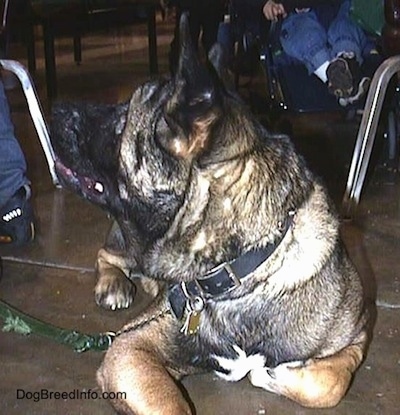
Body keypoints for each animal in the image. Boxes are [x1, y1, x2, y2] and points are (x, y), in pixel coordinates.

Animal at [51, 14, 370, 414]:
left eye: (122, 118)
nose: (55, 110)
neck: (246, 265)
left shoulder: (358, 335)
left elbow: (330, 384)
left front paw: (274, 375)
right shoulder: (129, 348)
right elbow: (170, 403)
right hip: (129, 245)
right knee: (107, 253)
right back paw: (113, 283)